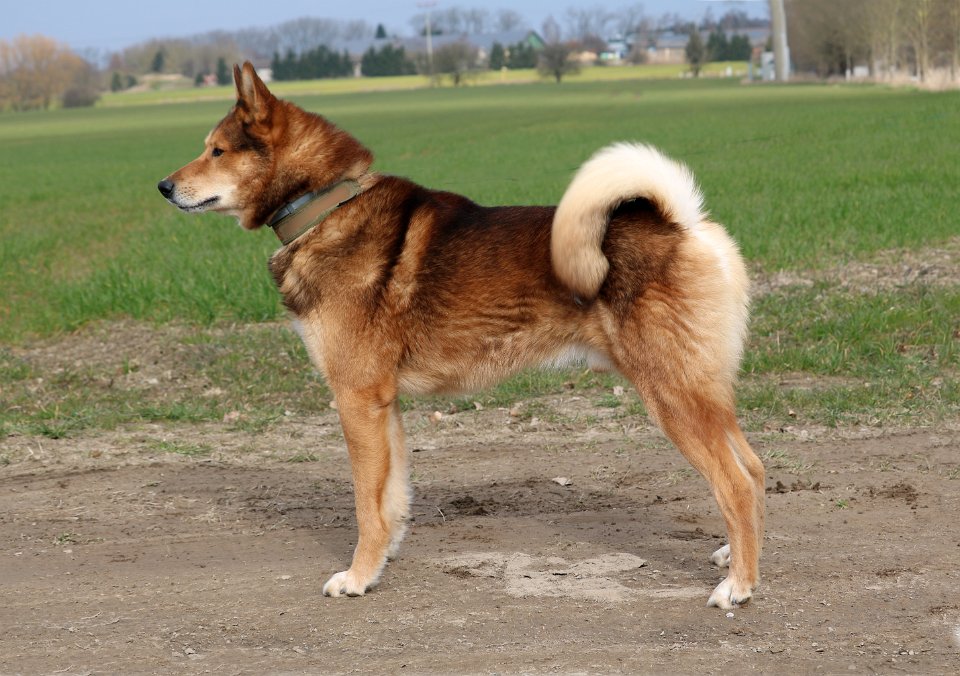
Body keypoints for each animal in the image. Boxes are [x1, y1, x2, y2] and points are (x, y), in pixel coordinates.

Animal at [158, 62, 764, 609]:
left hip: (672, 397)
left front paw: (356, 577)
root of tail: (681, 224)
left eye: (216, 151)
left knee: (733, 483)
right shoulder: (384, 406)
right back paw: (732, 555)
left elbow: (365, 504)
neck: (326, 205)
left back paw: (738, 585)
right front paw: (380, 564)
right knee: (753, 470)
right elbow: (391, 501)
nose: (163, 186)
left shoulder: (357, 400)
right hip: (703, 393)